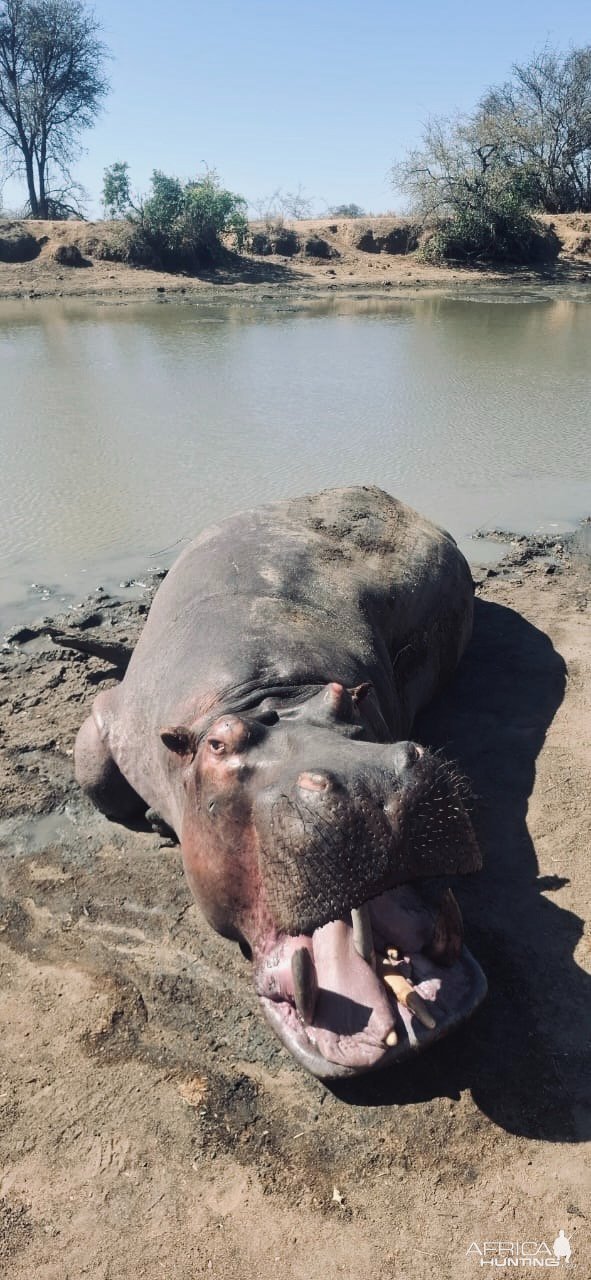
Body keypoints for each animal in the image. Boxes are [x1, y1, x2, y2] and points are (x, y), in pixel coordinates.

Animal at [76, 488, 486, 1080]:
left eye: (349, 701)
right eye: (218, 745)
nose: (371, 782)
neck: (270, 693)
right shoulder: (117, 714)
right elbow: (96, 775)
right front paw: (151, 819)